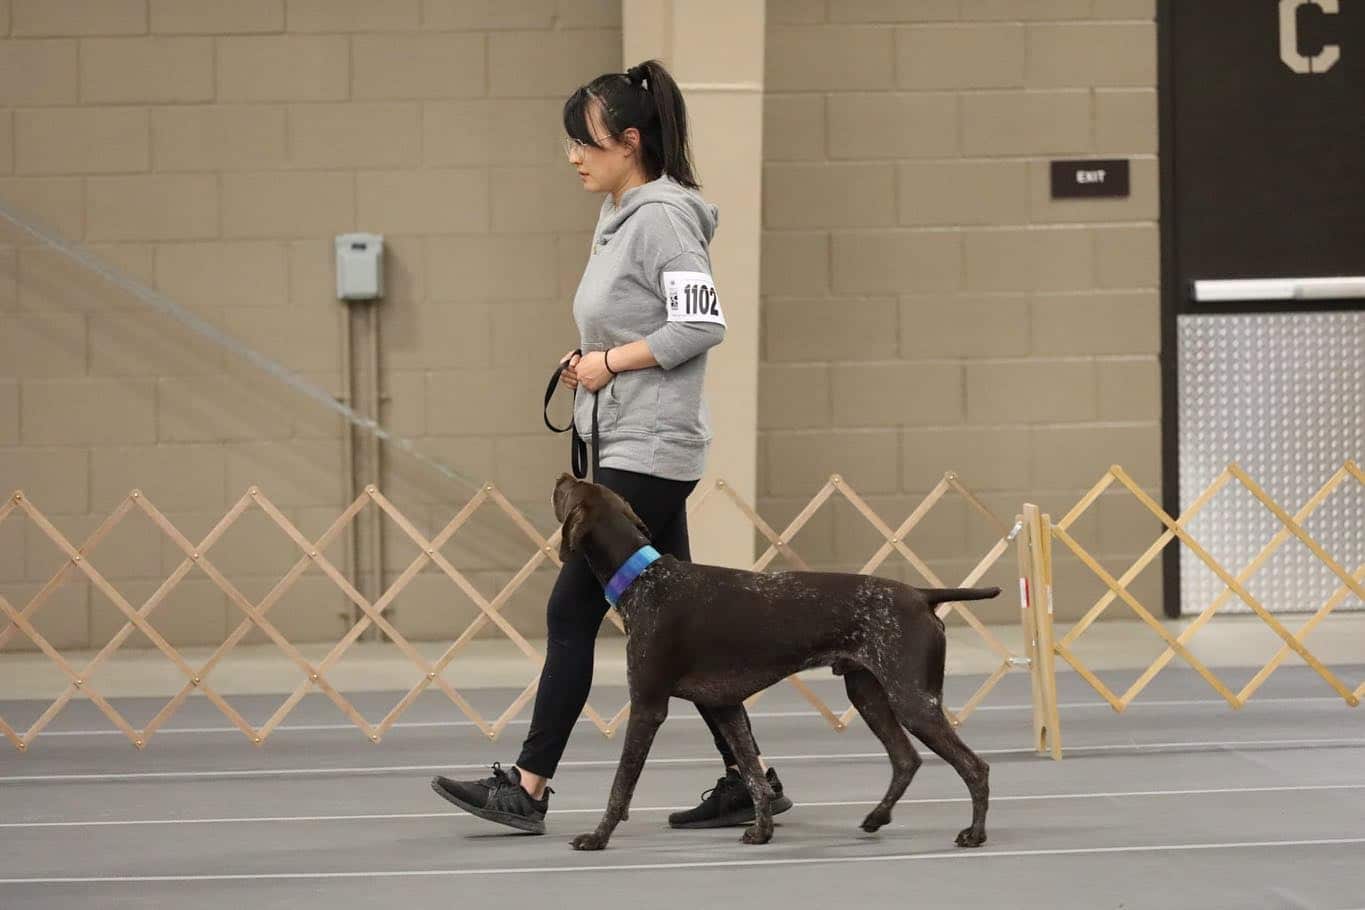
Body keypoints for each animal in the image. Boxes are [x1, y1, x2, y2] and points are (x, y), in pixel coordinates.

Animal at [548, 474, 999, 851]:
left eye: (572, 489)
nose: (563, 475)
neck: (643, 580)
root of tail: (922, 594)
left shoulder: (647, 706)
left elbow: (621, 784)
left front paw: (598, 836)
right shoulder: (725, 707)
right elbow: (753, 777)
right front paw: (761, 831)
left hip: (913, 700)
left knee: (975, 766)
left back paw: (975, 834)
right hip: (868, 693)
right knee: (906, 760)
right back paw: (877, 817)